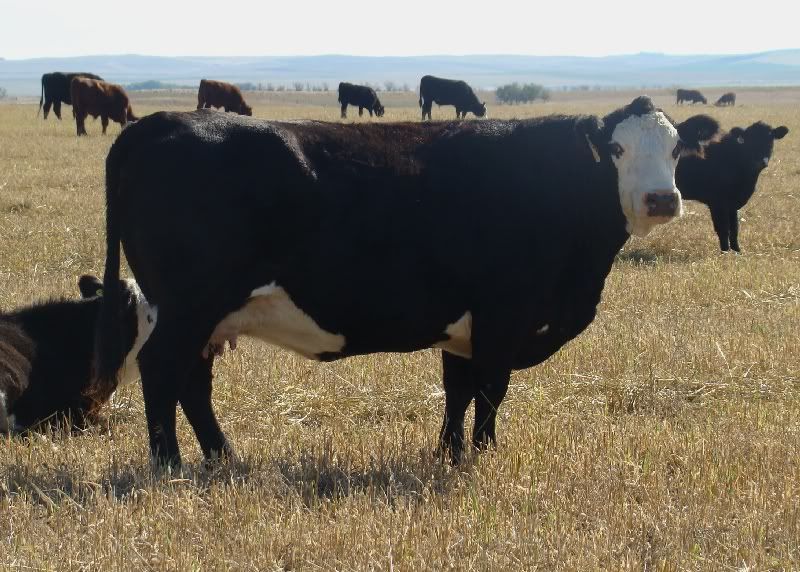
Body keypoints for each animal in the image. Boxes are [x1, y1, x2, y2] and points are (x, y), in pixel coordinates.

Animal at [92, 96, 718, 468]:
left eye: (677, 148)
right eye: (616, 148)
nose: (661, 199)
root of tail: (158, 123)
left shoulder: (464, 324)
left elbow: (458, 389)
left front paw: (450, 454)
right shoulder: (503, 313)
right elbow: (490, 389)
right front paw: (482, 459)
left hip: (207, 314)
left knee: (192, 383)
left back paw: (224, 460)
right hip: (189, 304)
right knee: (162, 372)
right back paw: (169, 465)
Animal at [676, 117, 788, 252]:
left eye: (770, 140)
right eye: (749, 140)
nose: (760, 161)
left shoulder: (732, 205)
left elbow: (734, 229)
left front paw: (737, 250)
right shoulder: (718, 202)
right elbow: (723, 229)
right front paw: (725, 251)